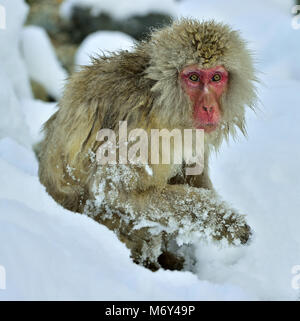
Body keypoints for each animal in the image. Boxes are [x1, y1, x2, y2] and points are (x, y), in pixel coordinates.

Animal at [37, 19, 258, 270]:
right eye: (193, 77)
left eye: (216, 78)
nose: (209, 107)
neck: (160, 98)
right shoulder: (137, 131)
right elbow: (115, 192)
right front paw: (226, 223)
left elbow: (190, 174)